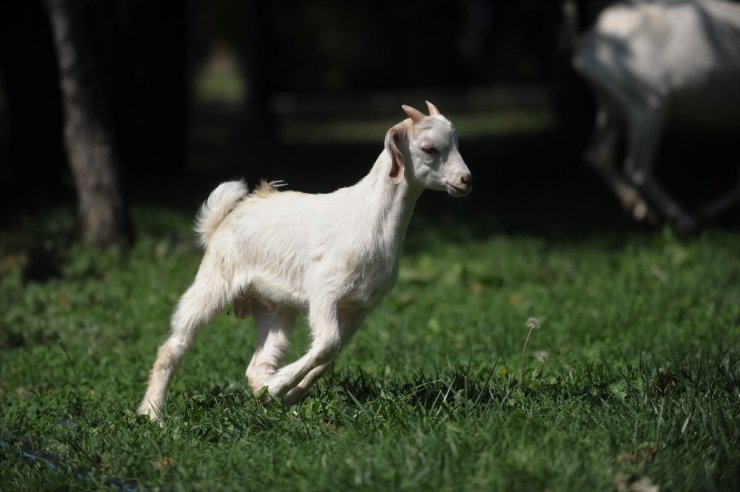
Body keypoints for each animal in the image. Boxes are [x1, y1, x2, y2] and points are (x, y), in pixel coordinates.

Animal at [576, 0, 740, 231]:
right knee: (638, 170)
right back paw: (683, 218)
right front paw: (702, 215)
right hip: (648, 107)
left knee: (598, 155)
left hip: (612, 107)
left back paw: (641, 209)